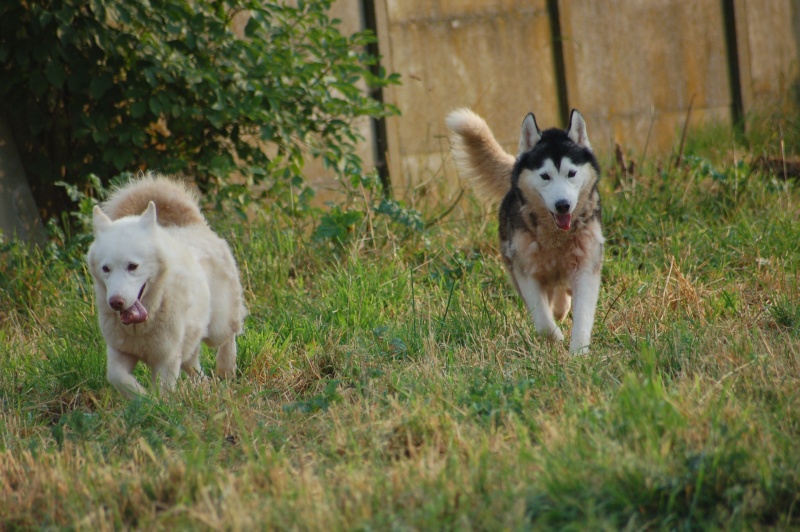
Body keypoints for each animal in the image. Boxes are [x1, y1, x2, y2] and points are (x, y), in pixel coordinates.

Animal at [86, 177, 245, 396]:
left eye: (132, 266)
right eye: (105, 268)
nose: (116, 302)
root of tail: (192, 225)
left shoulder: (167, 359)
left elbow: (164, 392)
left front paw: (157, 403)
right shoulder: (120, 352)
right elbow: (117, 378)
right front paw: (142, 398)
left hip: (217, 326)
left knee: (229, 335)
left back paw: (226, 368)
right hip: (191, 336)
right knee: (192, 362)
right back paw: (204, 386)